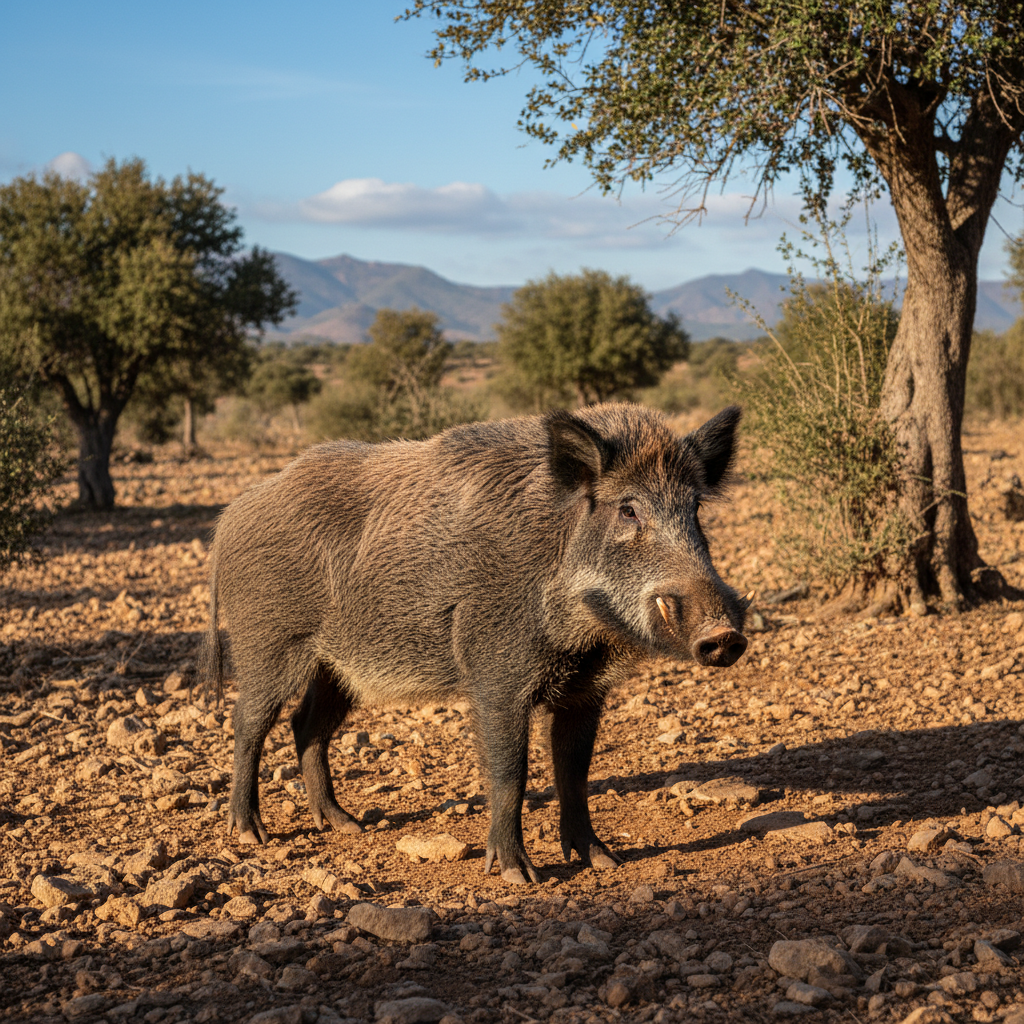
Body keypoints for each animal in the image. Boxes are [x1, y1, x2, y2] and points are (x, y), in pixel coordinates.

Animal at [201, 403, 748, 883]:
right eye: (629, 509)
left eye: (696, 508)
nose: (725, 636)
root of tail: (230, 518)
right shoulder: (496, 675)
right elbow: (511, 772)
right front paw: (518, 875)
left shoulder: (585, 690)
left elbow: (574, 773)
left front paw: (603, 861)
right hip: (268, 643)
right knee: (247, 722)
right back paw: (250, 833)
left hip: (338, 668)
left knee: (307, 724)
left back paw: (345, 824)